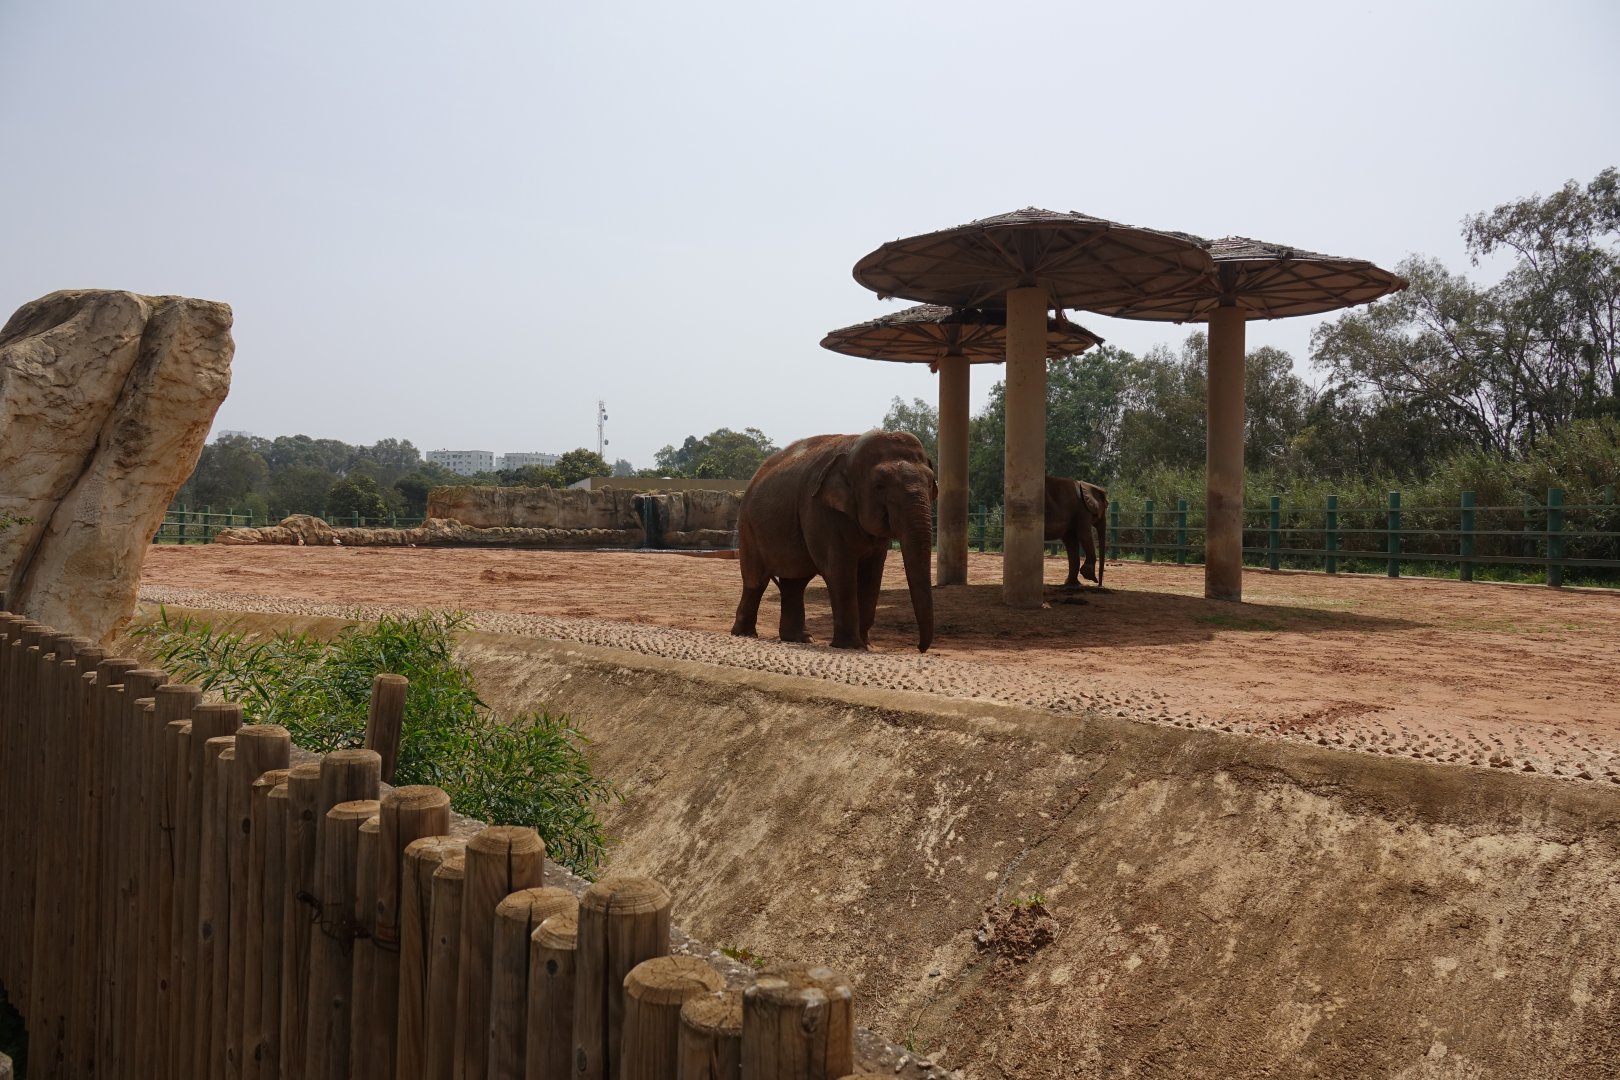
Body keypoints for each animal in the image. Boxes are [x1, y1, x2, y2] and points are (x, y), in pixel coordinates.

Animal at [731, 430, 937, 652]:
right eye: (879, 486)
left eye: (930, 483)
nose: (919, 647)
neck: (851, 450)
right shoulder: (819, 509)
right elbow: (839, 570)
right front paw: (851, 646)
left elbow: (872, 575)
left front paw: (866, 645)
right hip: (748, 526)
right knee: (756, 581)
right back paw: (745, 634)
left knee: (795, 582)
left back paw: (800, 639)